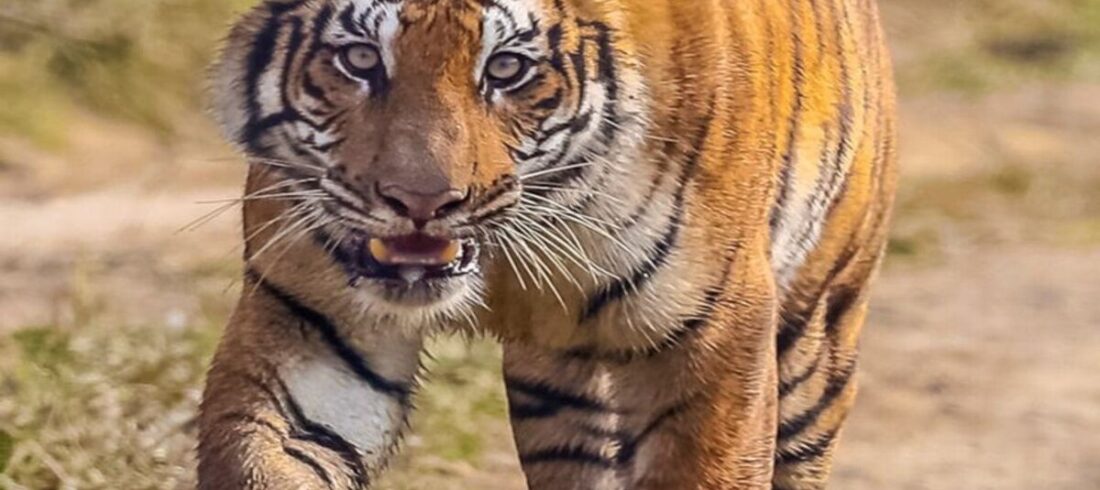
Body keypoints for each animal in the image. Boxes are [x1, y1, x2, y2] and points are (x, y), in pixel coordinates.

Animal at [196, 0, 897, 489]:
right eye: (362, 60)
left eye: (506, 68)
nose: (422, 203)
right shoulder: (313, 321)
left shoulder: (717, 331)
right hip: (560, 391)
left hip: (818, 338)